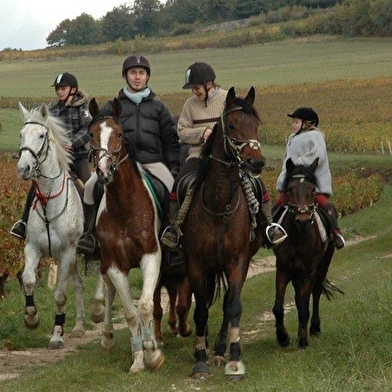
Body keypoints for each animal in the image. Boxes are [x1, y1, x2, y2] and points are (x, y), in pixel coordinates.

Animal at [17, 102, 86, 350]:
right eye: (21, 134)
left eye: (41, 135)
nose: (23, 168)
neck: (49, 198)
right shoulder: (33, 247)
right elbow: (28, 279)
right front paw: (31, 318)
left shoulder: (66, 252)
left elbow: (60, 296)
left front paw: (57, 334)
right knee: (78, 283)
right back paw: (79, 326)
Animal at [87, 98, 164, 374]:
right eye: (91, 134)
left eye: (119, 133)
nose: (104, 171)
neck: (124, 207)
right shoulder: (114, 264)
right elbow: (130, 312)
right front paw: (139, 358)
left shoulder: (151, 255)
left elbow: (145, 305)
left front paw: (153, 353)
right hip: (105, 262)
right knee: (109, 293)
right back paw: (107, 334)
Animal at [179, 87, 264, 382]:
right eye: (233, 125)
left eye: (256, 125)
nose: (256, 162)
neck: (220, 205)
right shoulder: (196, 262)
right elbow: (201, 309)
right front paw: (199, 359)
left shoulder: (238, 260)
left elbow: (233, 306)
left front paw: (234, 358)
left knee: (227, 303)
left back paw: (218, 350)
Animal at [272, 158, 342, 350]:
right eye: (290, 189)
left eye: (312, 190)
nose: (302, 220)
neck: (298, 237)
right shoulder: (283, 269)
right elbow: (278, 307)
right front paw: (282, 337)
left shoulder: (309, 271)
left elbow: (304, 305)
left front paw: (303, 340)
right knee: (298, 297)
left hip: (323, 265)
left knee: (315, 293)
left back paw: (315, 327)